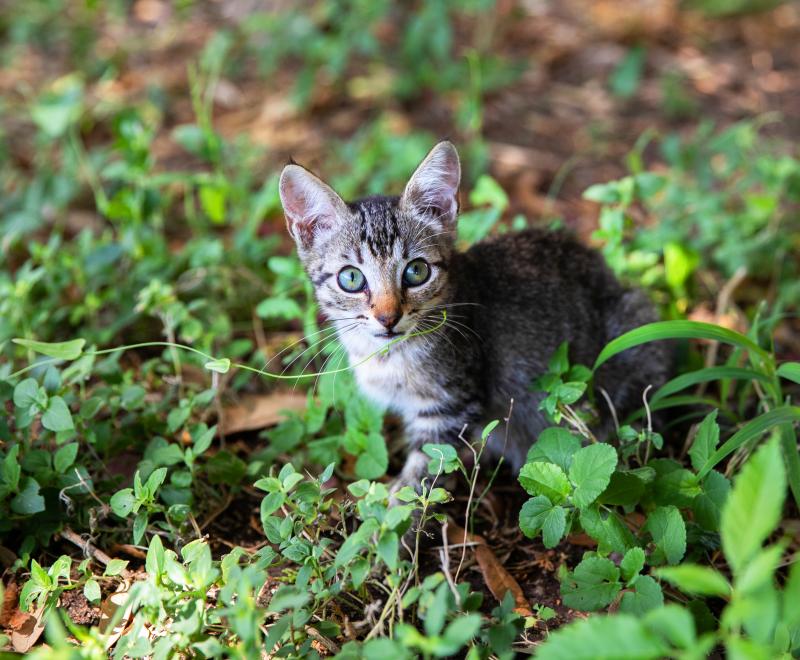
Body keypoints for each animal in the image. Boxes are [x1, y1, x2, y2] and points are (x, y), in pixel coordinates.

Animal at [280, 144, 668, 492]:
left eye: (416, 271)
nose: (388, 318)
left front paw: (392, 524)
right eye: (351, 279)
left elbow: (419, 478)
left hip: (633, 323)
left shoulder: (450, 405)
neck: (383, 355)